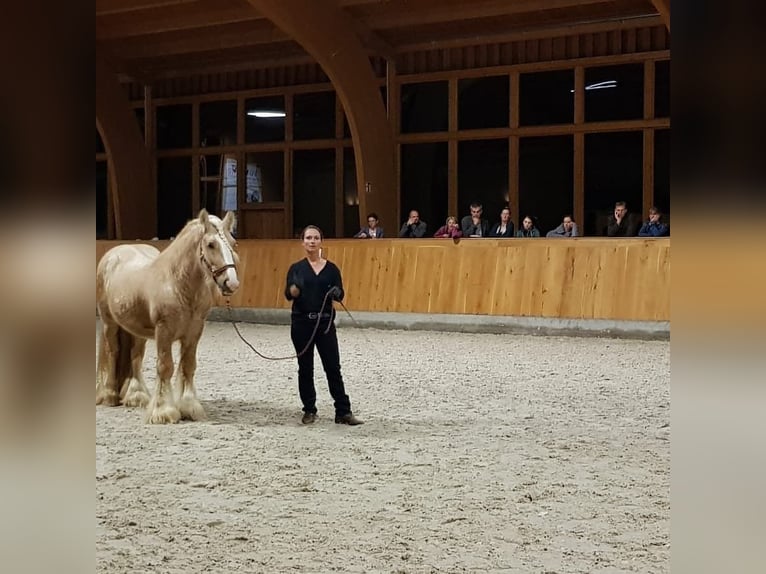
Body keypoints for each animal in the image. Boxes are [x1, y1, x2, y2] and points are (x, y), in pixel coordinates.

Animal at [97, 210, 240, 424]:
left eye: (232, 242)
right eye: (210, 244)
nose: (231, 283)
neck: (176, 284)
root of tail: (113, 253)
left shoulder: (194, 333)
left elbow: (188, 367)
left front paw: (189, 407)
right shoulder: (164, 331)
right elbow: (165, 367)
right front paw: (163, 412)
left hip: (136, 329)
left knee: (135, 356)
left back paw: (137, 396)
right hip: (110, 323)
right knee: (113, 350)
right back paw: (109, 395)